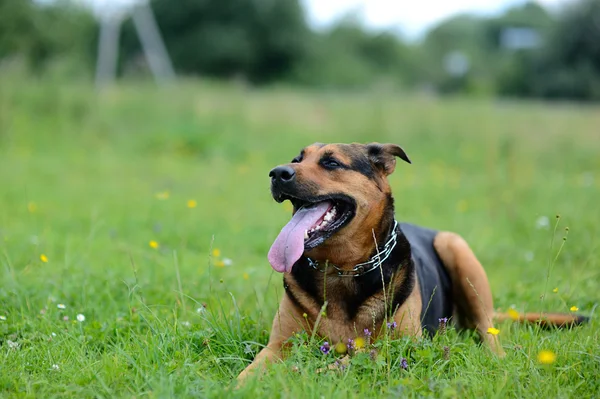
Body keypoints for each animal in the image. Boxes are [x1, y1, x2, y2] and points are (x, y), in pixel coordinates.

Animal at [237, 141, 588, 382]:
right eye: (296, 159)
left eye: (332, 162)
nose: (277, 173)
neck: (341, 269)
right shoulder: (277, 345)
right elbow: (250, 372)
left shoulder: (402, 348)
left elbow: (343, 361)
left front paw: (302, 373)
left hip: (456, 247)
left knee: (488, 330)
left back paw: (495, 358)